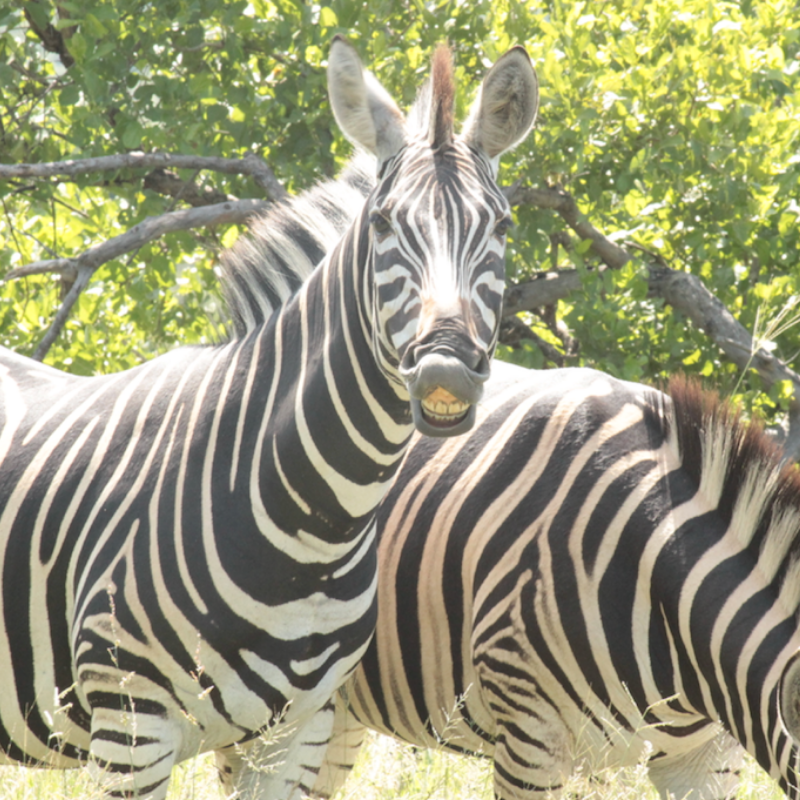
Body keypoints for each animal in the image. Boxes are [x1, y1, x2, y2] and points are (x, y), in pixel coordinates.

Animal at [0, 39, 540, 800]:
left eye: (501, 226)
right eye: (382, 224)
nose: (446, 373)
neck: (317, 527)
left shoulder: (297, 731)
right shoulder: (130, 724)